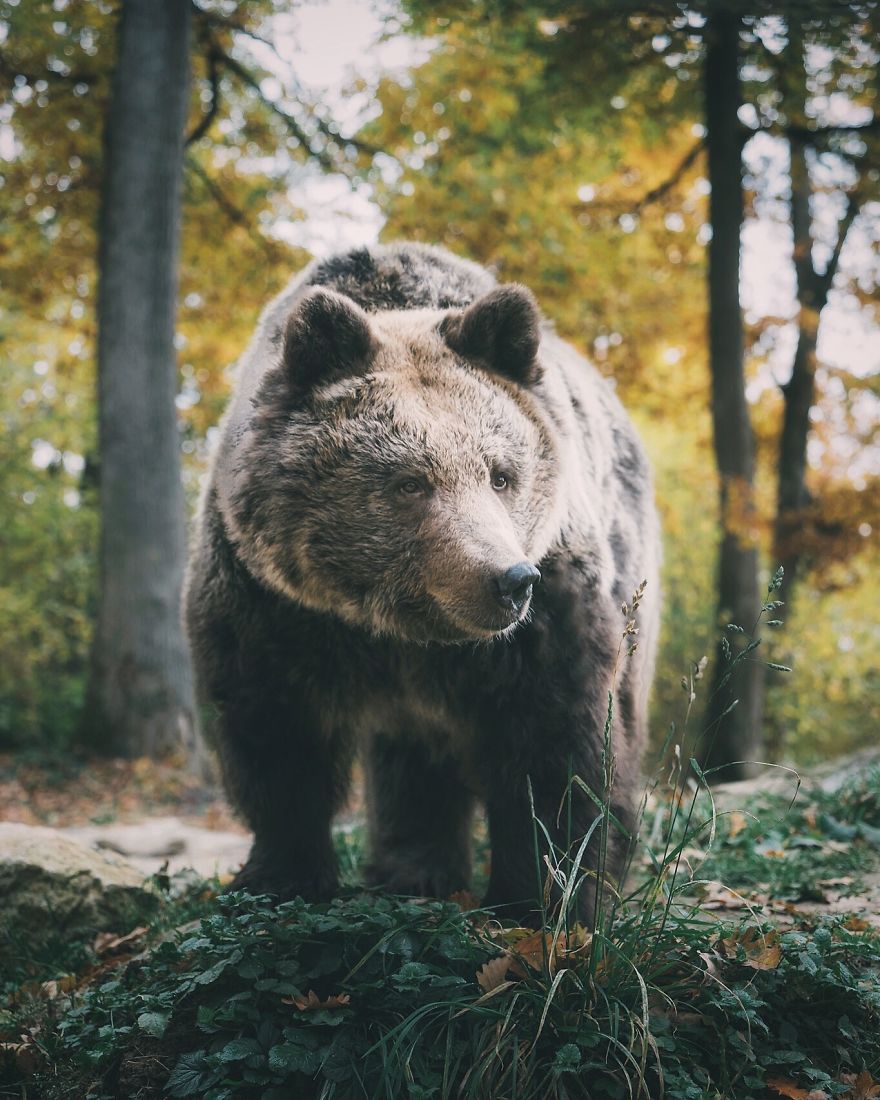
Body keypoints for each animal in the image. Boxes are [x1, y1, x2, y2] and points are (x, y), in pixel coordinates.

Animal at [184, 242, 660, 922]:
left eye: (500, 474)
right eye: (410, 482)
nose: (508, 580)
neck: (397, 626)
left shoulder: (548, 617)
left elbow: (556, 746)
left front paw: (543, 900)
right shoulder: (273, 604)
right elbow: (277, 733)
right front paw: (278, 879)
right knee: (412, 758)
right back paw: (409, 870)